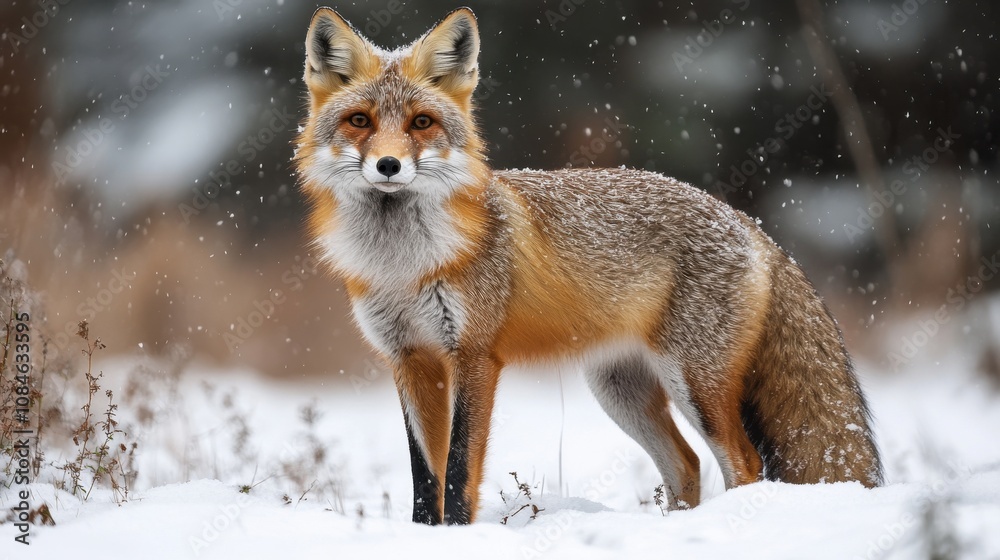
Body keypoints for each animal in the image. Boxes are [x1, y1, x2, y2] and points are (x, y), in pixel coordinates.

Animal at [294, 7, 883, 525]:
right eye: (359, 121)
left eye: (421, 123)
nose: (389, 165)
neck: (403, 266)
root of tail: (747, 221)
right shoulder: (409, 359)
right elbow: (425, 479)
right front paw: (423, 537)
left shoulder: (475, 356)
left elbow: (459, 472)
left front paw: (460, 536)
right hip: (619, 390)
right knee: (686, 464)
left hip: (695, 384)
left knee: (744, 461)